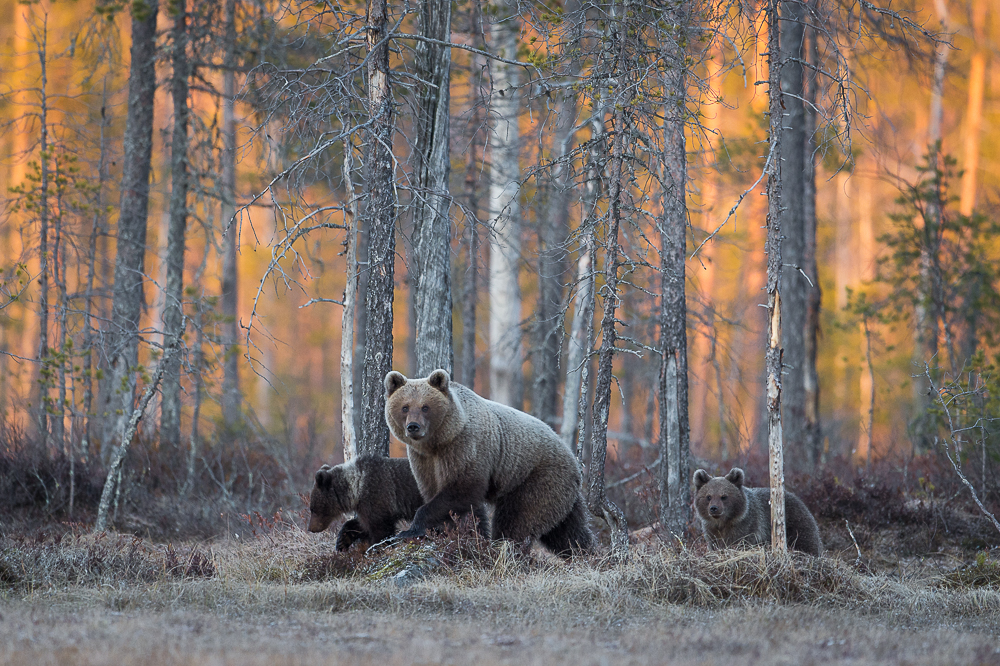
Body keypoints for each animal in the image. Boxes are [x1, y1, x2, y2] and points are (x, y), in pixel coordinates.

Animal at [384, 369, 594, 558]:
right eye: (405, 407)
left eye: (425, 407)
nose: (413, 427)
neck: (438, 442)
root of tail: (573, 458)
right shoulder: (424, 460)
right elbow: (445, 497)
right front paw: (459, 533)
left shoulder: (466, 448)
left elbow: (460, 491)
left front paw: (411, 530)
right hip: (561, 493)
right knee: (567, 530)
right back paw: (586, 554)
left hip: (536, 477)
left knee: (518, 519)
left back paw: (507, 549)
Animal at [692, 467, 823, 556]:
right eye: (708, 496)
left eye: (724, 496)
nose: (714, 508)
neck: (723, 522)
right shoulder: (711, 529)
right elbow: (714, 543)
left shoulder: (746, 526)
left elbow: (740, 542)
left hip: (797, 524)